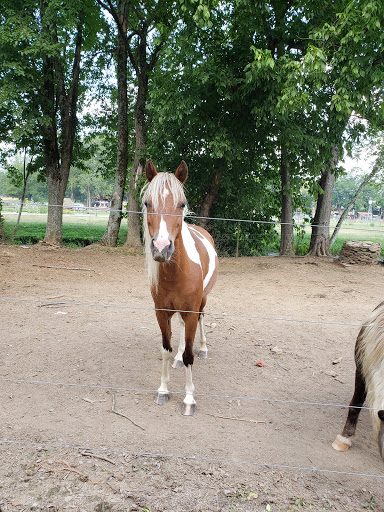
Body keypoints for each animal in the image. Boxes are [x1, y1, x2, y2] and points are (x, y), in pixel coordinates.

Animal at [142, 159, 219, 416]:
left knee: (202, 320)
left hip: (201, 303)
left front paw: (189, 399)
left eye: (182, 203)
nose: (161, 247)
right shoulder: (162, 313)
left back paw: (203, 348)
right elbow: (165, 349)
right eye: (147, 202)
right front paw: (163, 390)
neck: (177, 272)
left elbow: (189, 355)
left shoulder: (192, 310)